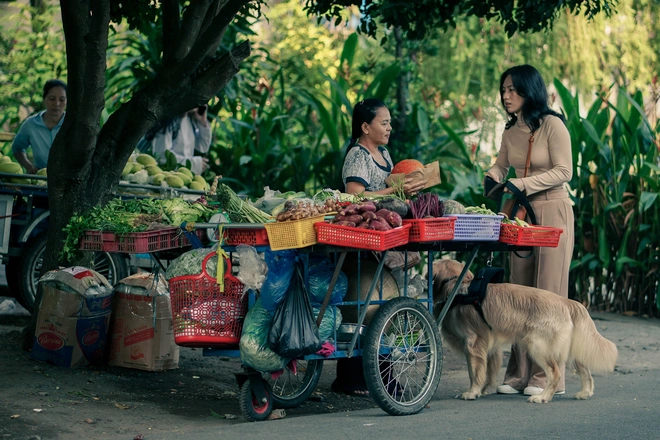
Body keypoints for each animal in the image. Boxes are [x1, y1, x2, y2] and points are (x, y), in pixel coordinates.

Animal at [434, 260, 620, 404]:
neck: (457, 290)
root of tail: (567, 302)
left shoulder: (473, 344)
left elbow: (474, 372)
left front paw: (472, 392)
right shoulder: (490, 346)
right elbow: (487, 372)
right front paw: (483, 389)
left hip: (539, 347)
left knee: (555, 374)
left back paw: (542, 397)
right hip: (573, 349)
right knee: (586, 371)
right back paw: (585, 393)